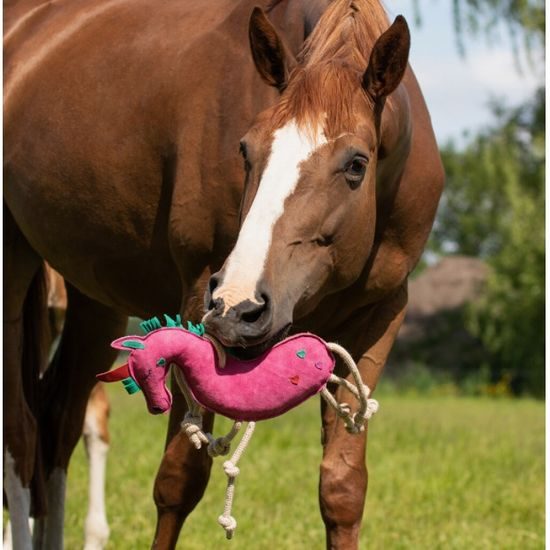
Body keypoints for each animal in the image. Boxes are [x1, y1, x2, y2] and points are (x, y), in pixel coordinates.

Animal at [3, 1, 444, 550]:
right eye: (245, 150)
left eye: (356, 164)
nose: (239, 306)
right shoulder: (196, 299)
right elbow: (179, 479)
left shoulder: (378, 318)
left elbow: (342, 489)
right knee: (21, 435)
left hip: (93, 299)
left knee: (57, 425)